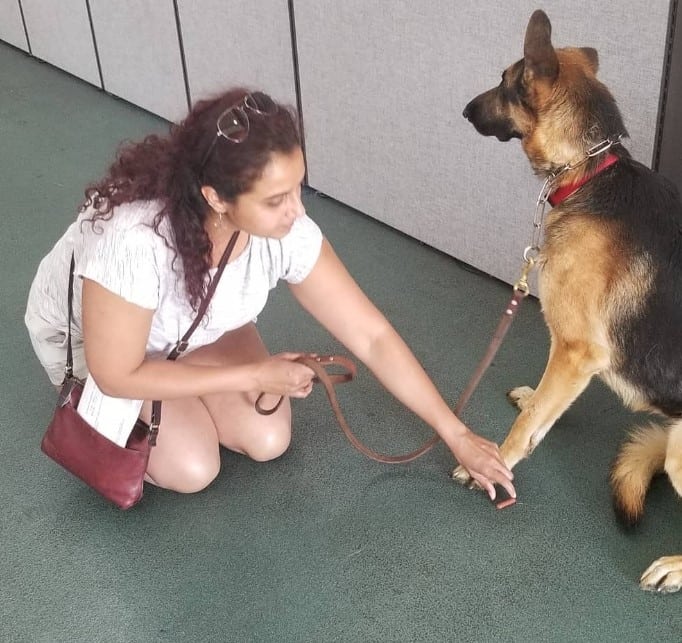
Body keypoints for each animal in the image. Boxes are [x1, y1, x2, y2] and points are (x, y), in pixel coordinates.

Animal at [456, 10, 680, 592]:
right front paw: (533, 400)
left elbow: (527, 425)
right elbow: (542, 408)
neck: (587, 169)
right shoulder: (569, 357)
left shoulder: (578, 353)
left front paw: (492, 464)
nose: (463, 110)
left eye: (504, 79)